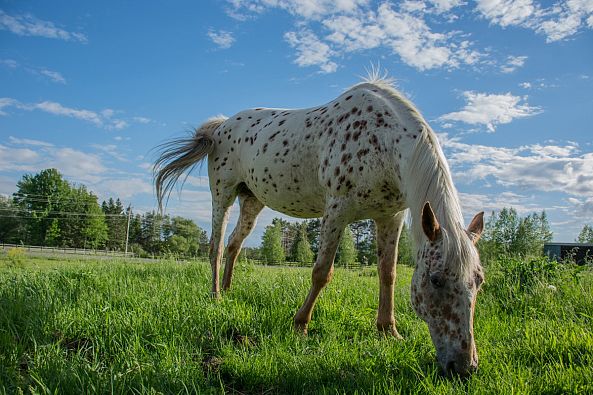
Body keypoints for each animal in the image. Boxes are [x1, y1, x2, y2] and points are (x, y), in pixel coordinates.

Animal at [154, 76, 486, 378]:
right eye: (435, 280)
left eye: (479, 281)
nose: (464, 367)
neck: (382, 140)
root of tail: (222, 124)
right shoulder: (337, 211)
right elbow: (321, 272)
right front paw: (300, 325)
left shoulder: (390, 218)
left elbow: (388, 274)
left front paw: (388, 331)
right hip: (222, 195)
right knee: (217, 246)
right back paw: (216, 297)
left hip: (252, 201)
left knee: (235, 244)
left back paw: (228, 290)